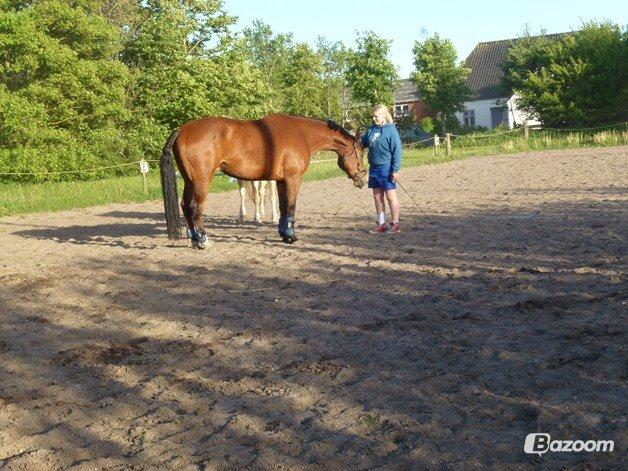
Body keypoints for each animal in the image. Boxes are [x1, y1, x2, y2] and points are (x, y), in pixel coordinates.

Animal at [159, 114, 368, 247]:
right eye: (360, 153)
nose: (363, 180)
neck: (300, 133)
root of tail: (182, 130)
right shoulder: (293, 178)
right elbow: (291, 206)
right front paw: (291, 236)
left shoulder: (281, 181)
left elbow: (283, 207)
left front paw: (284, 234)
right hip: (201, 181)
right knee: (195, 208)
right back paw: (203, 240)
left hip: (189, 180)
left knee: (185, 206)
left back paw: (194, 238)